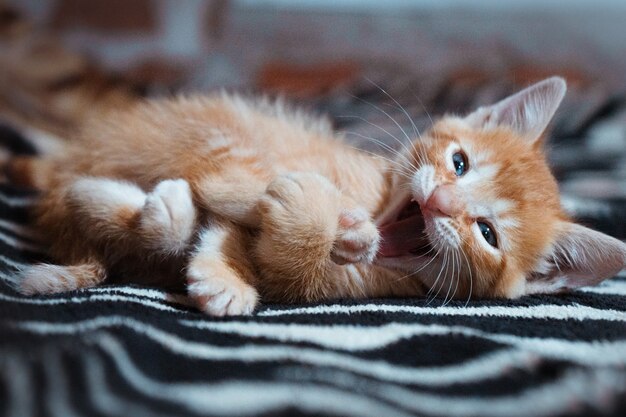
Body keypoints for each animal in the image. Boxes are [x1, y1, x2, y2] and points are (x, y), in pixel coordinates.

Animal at [11, 76, 624, 314]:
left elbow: (263, 256)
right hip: (213, 128)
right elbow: (244, 196)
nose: (440, 205)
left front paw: (222, 280)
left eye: (489, 234)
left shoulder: (317, 285)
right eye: (459, 163)